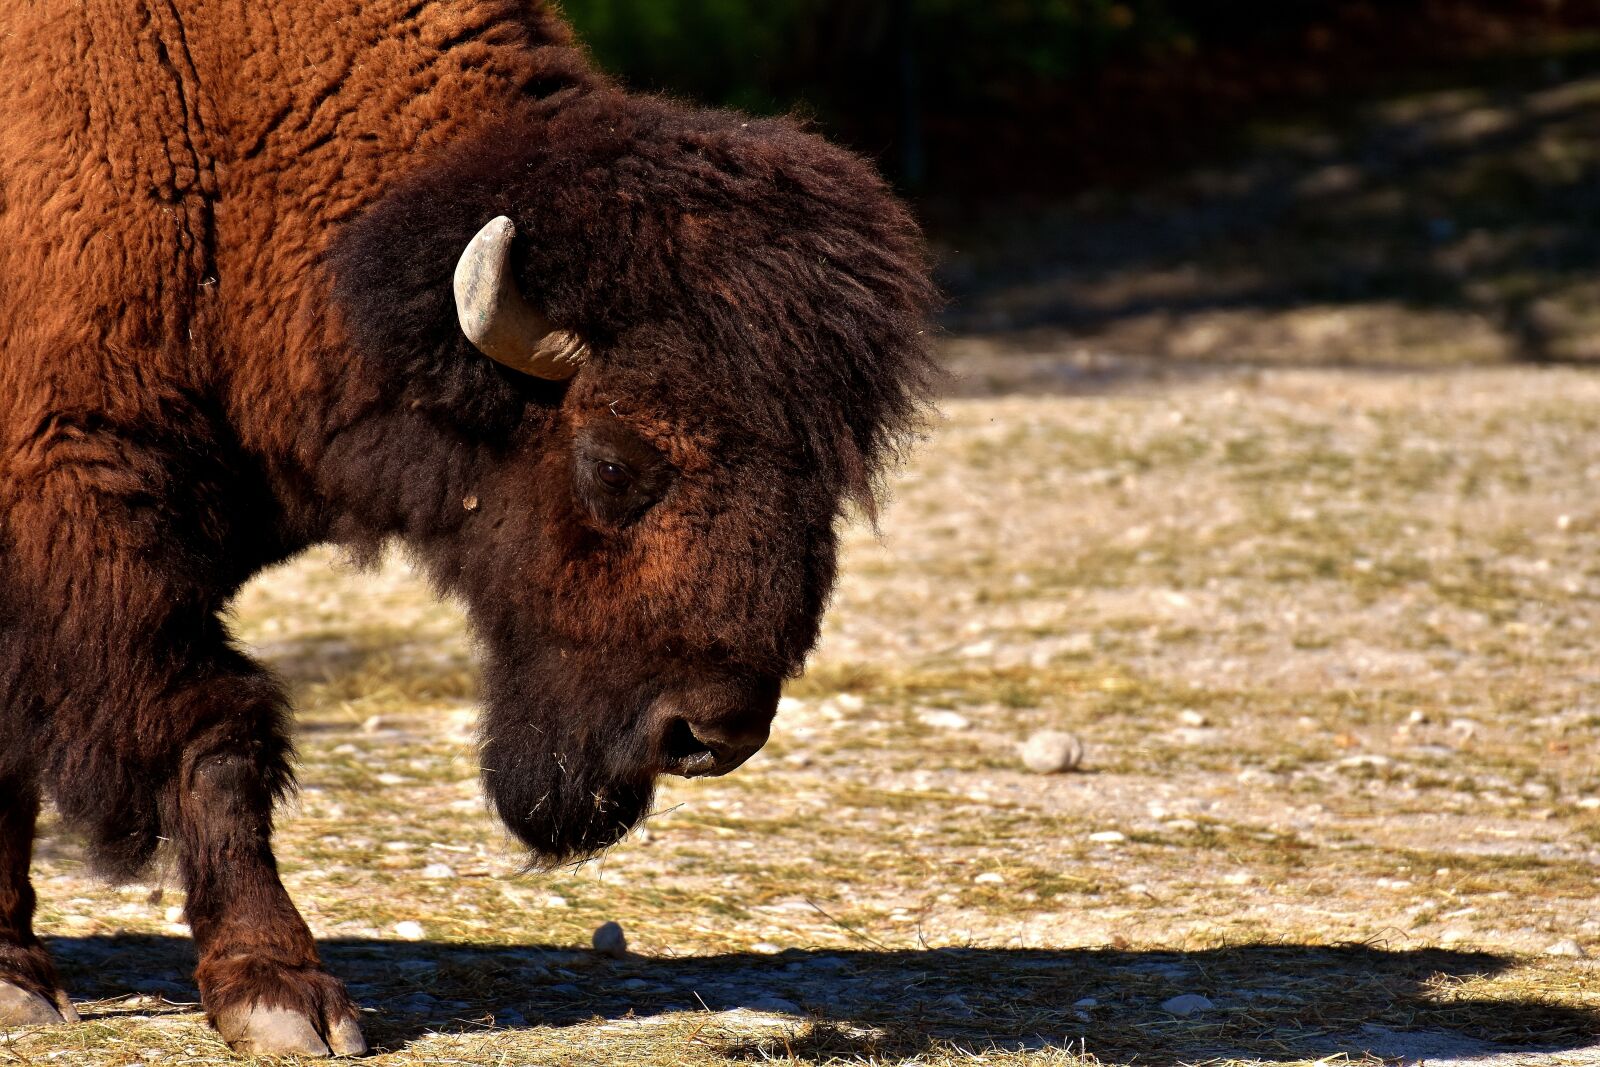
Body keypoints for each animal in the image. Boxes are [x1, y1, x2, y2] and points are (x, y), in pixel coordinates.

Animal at [0, 0, 934, 1056]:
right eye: (612, 462)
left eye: (827, 479)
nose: (712, 732)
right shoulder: (87, 515)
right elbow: (212, 732)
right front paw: (284, 997)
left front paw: (18, 976)